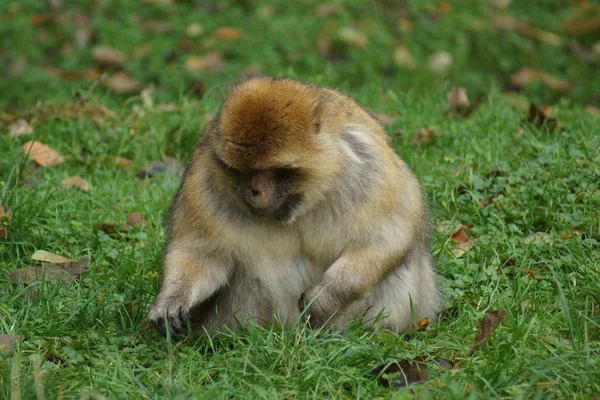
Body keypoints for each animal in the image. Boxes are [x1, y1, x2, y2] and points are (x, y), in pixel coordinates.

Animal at [148, 76, 442, 336]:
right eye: (241, 171)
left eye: (273, 170)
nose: (253, 191)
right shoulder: (203, 182)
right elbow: (200, 255)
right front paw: (172, 298)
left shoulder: (368, 168)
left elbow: (385, 236)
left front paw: (326, 296)